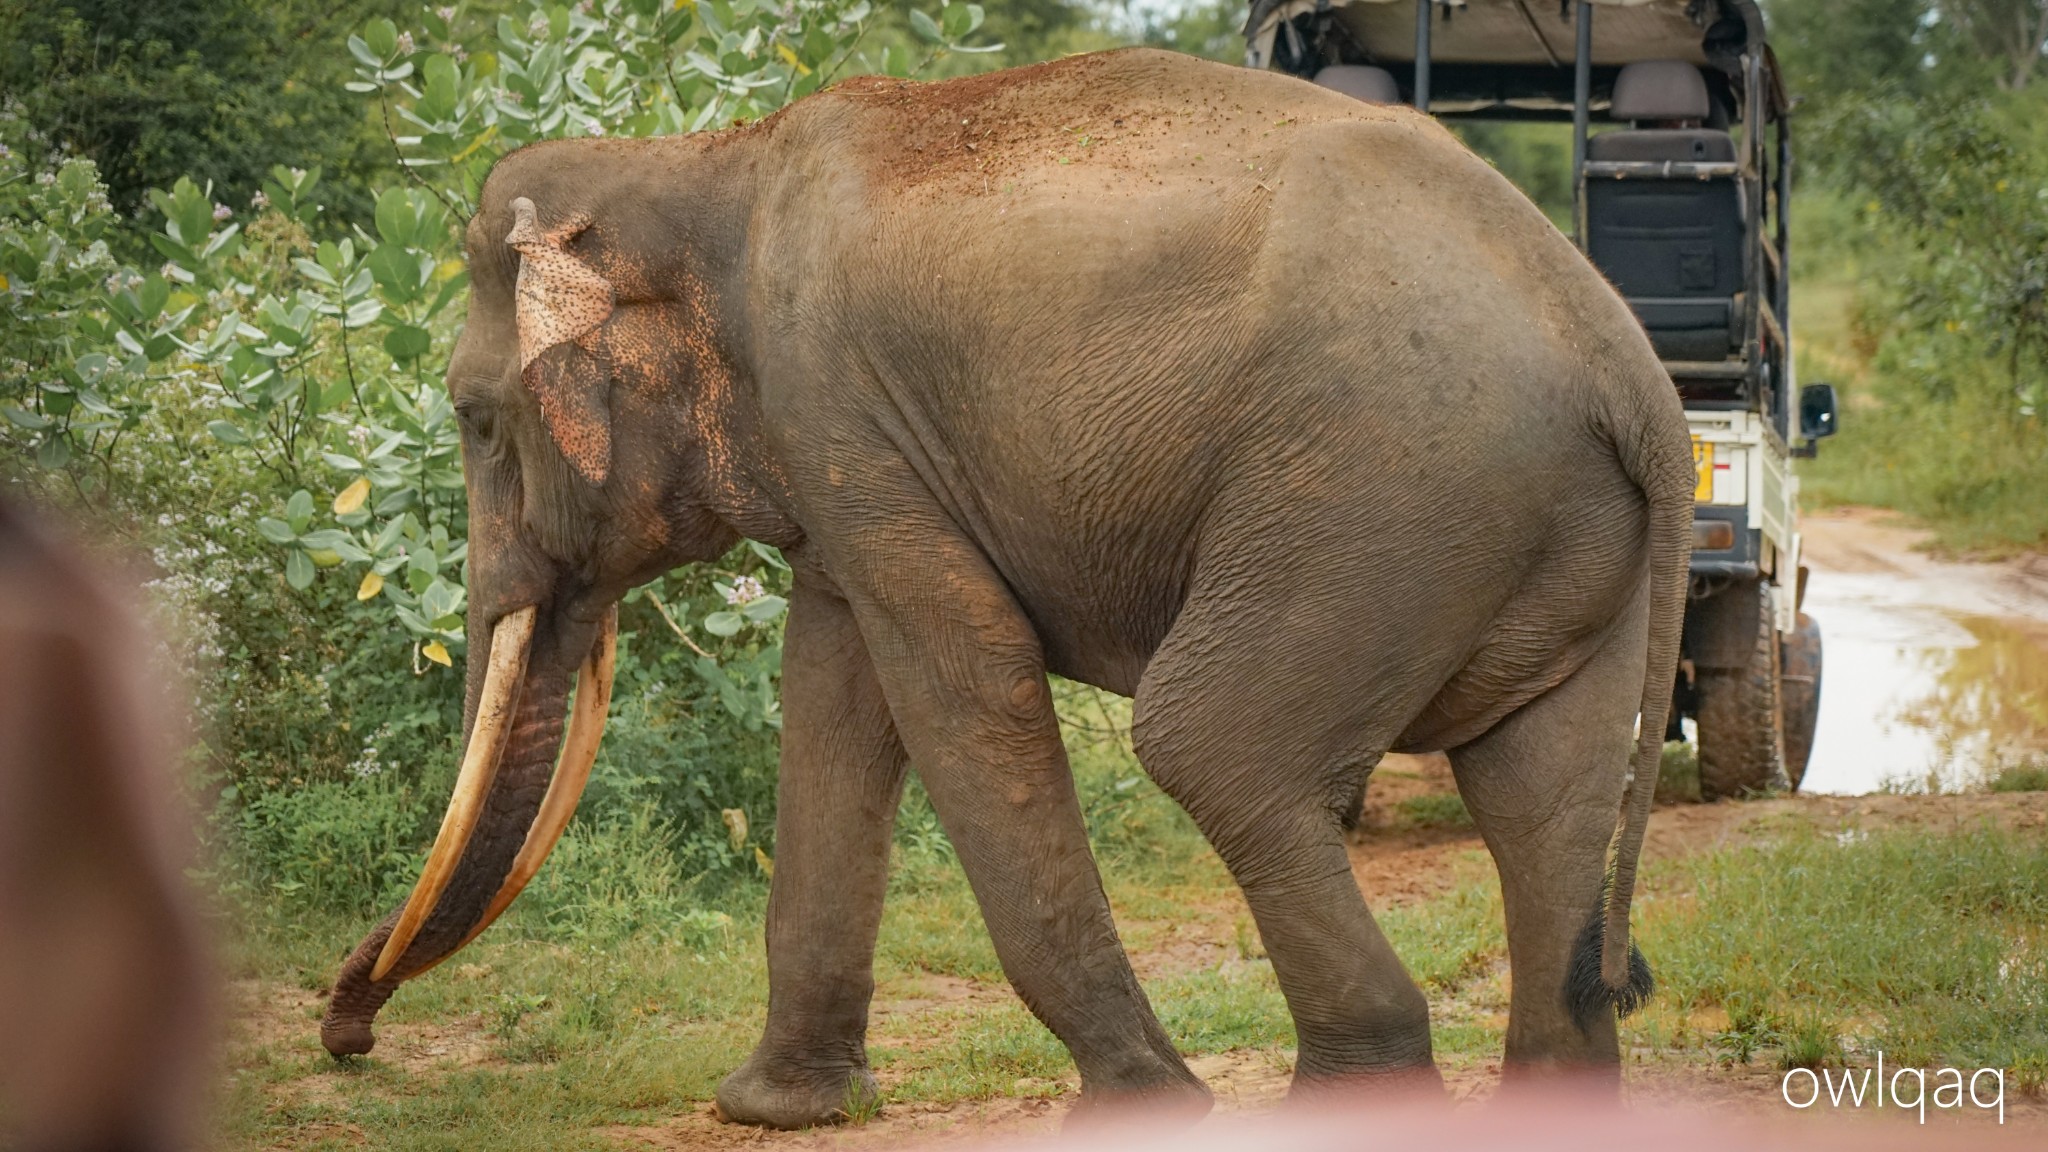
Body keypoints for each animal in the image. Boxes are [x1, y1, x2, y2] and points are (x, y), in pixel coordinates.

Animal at [323, 49, 1695, 1123]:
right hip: (1535, 530)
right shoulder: (842, 462)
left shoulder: (838, 403)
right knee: (1539, 787)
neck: (710, 161)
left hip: (1375, 493)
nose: (347, 1036)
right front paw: (777, 1111)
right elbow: (835, 693)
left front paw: (1147, 1107)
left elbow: (959, 674)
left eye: (474, 421)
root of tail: (1621, 356)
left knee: (1212, 746)